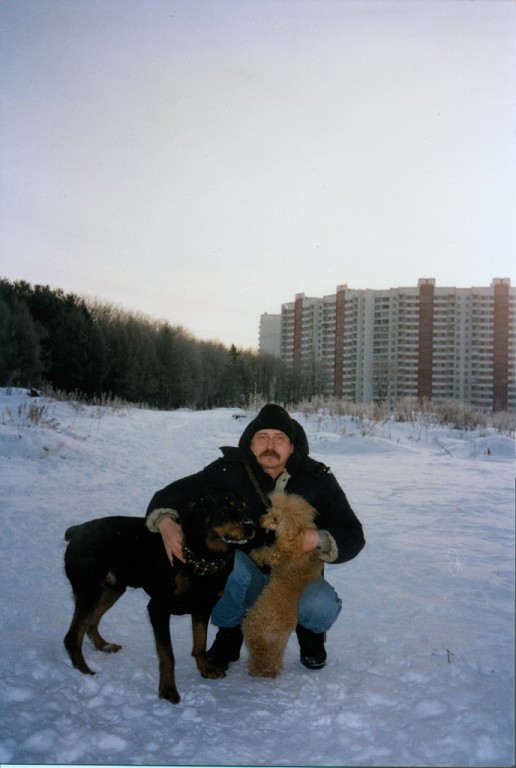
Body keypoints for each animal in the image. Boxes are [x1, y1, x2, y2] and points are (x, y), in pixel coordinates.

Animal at [63, 490, 254, 704]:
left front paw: (205, 669)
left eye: (245, 507)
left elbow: (200, 643)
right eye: (226, 507)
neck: (205, 556)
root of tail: (77, 530)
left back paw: (103, 646)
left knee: (91, 622)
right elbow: (167, 655)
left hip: (113, 588)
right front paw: (168, 690)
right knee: (73, 635)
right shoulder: (158, 608)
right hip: (89, 590)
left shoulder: (203, 607)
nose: (251, 526)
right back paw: (84, 671)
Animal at [242, 491, 323, 678]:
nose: (260, 519)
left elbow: (267, 553)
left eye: (276, 519)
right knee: (272, 658)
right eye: (271, 509)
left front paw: (255, 553)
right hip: (278, 645)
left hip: (250, 625)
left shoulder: (278, 556)